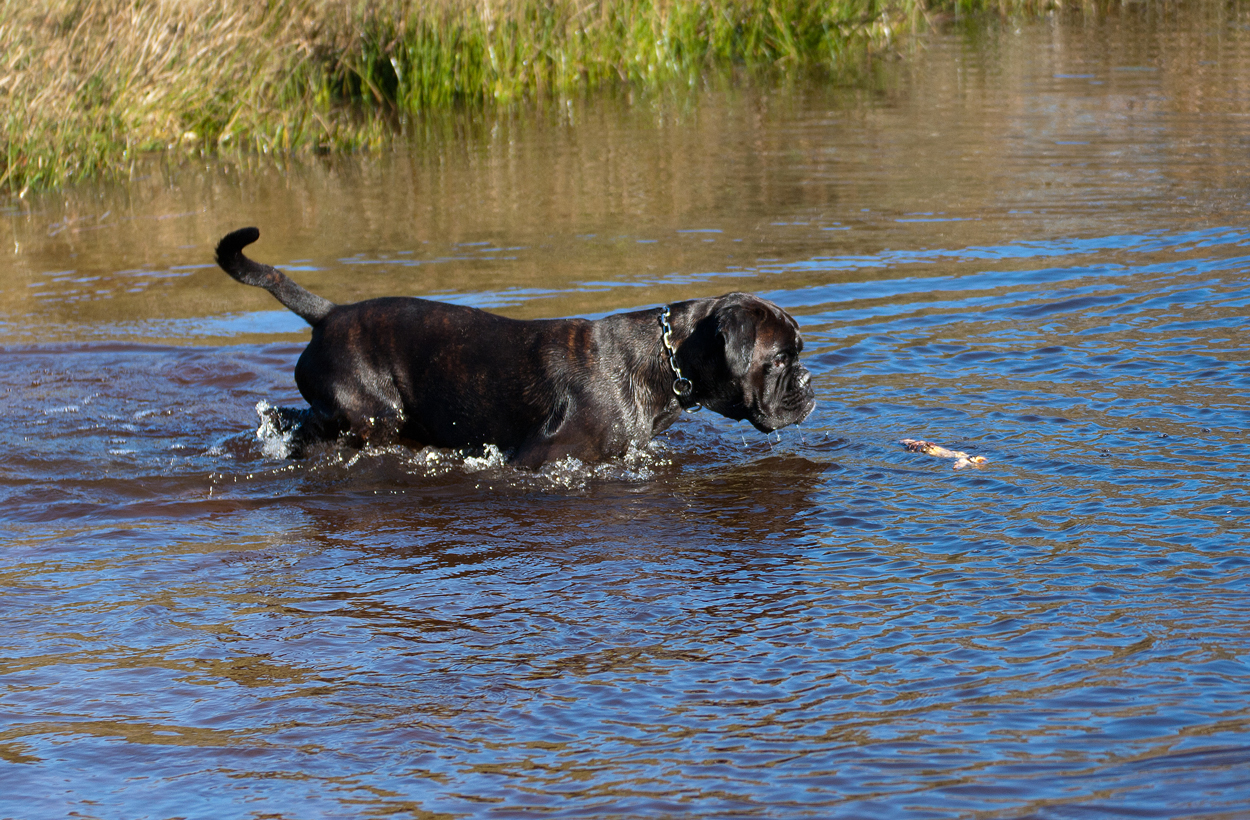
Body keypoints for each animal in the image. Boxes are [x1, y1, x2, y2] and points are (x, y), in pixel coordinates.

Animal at [217, 227, 810, 467]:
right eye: (781, 359)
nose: (808, 382)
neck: (666, 360)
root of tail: (329, 313)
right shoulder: (539, 459)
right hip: (369, 415)